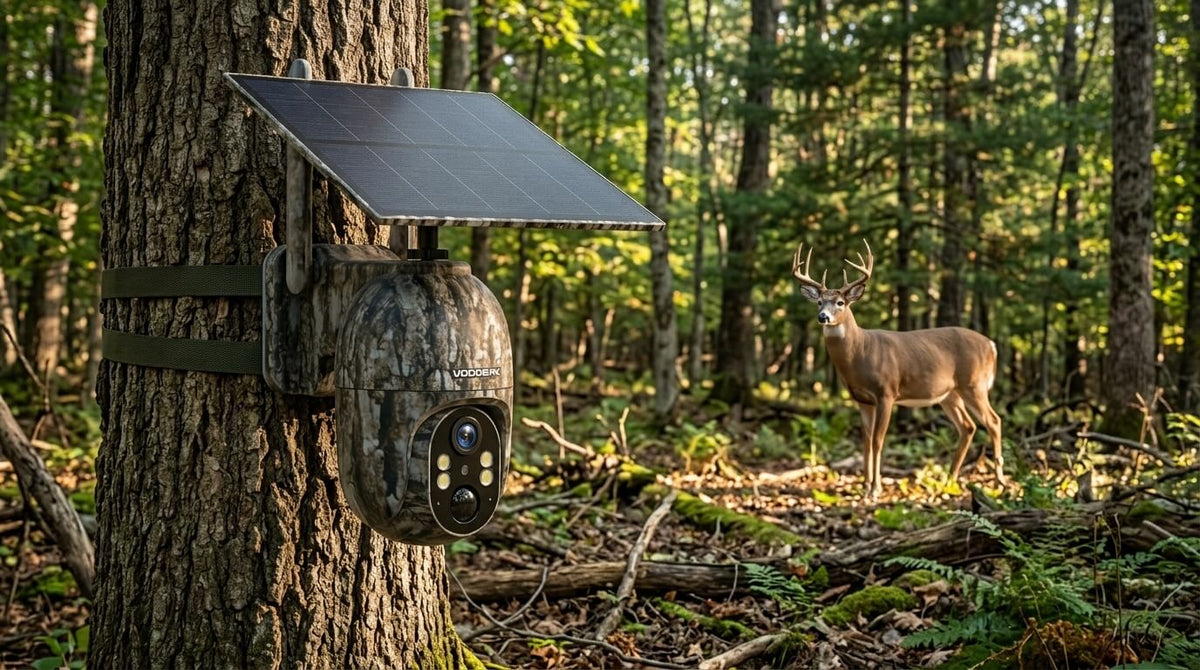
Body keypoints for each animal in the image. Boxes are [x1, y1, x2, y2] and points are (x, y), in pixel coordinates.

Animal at [792, 240, 1005, 499]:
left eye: (840, 303)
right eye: (820, 302)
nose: (823, 317)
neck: (860, 353)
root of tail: (992, 345)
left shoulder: (887, 392)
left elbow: (878, 440)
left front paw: (875, 489)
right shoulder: (862, 399)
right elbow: (865, 440)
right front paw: (864, 486)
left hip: (974, 384)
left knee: (994, 421)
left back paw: (998, 483)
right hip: (949, 394)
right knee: (968, 426)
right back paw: (949, 481)